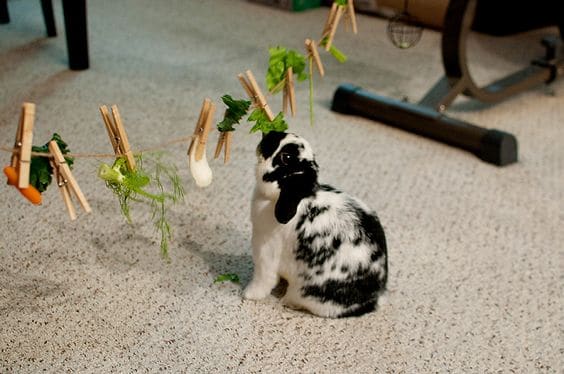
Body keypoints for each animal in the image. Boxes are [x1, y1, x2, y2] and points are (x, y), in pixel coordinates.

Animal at [245, 133, 390, 318]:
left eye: (286, 157)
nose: (267, 137)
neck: (276, 197)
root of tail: (373, 299)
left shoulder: (266, 253)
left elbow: (263, 279)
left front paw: (248, 294)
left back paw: (289, 302)